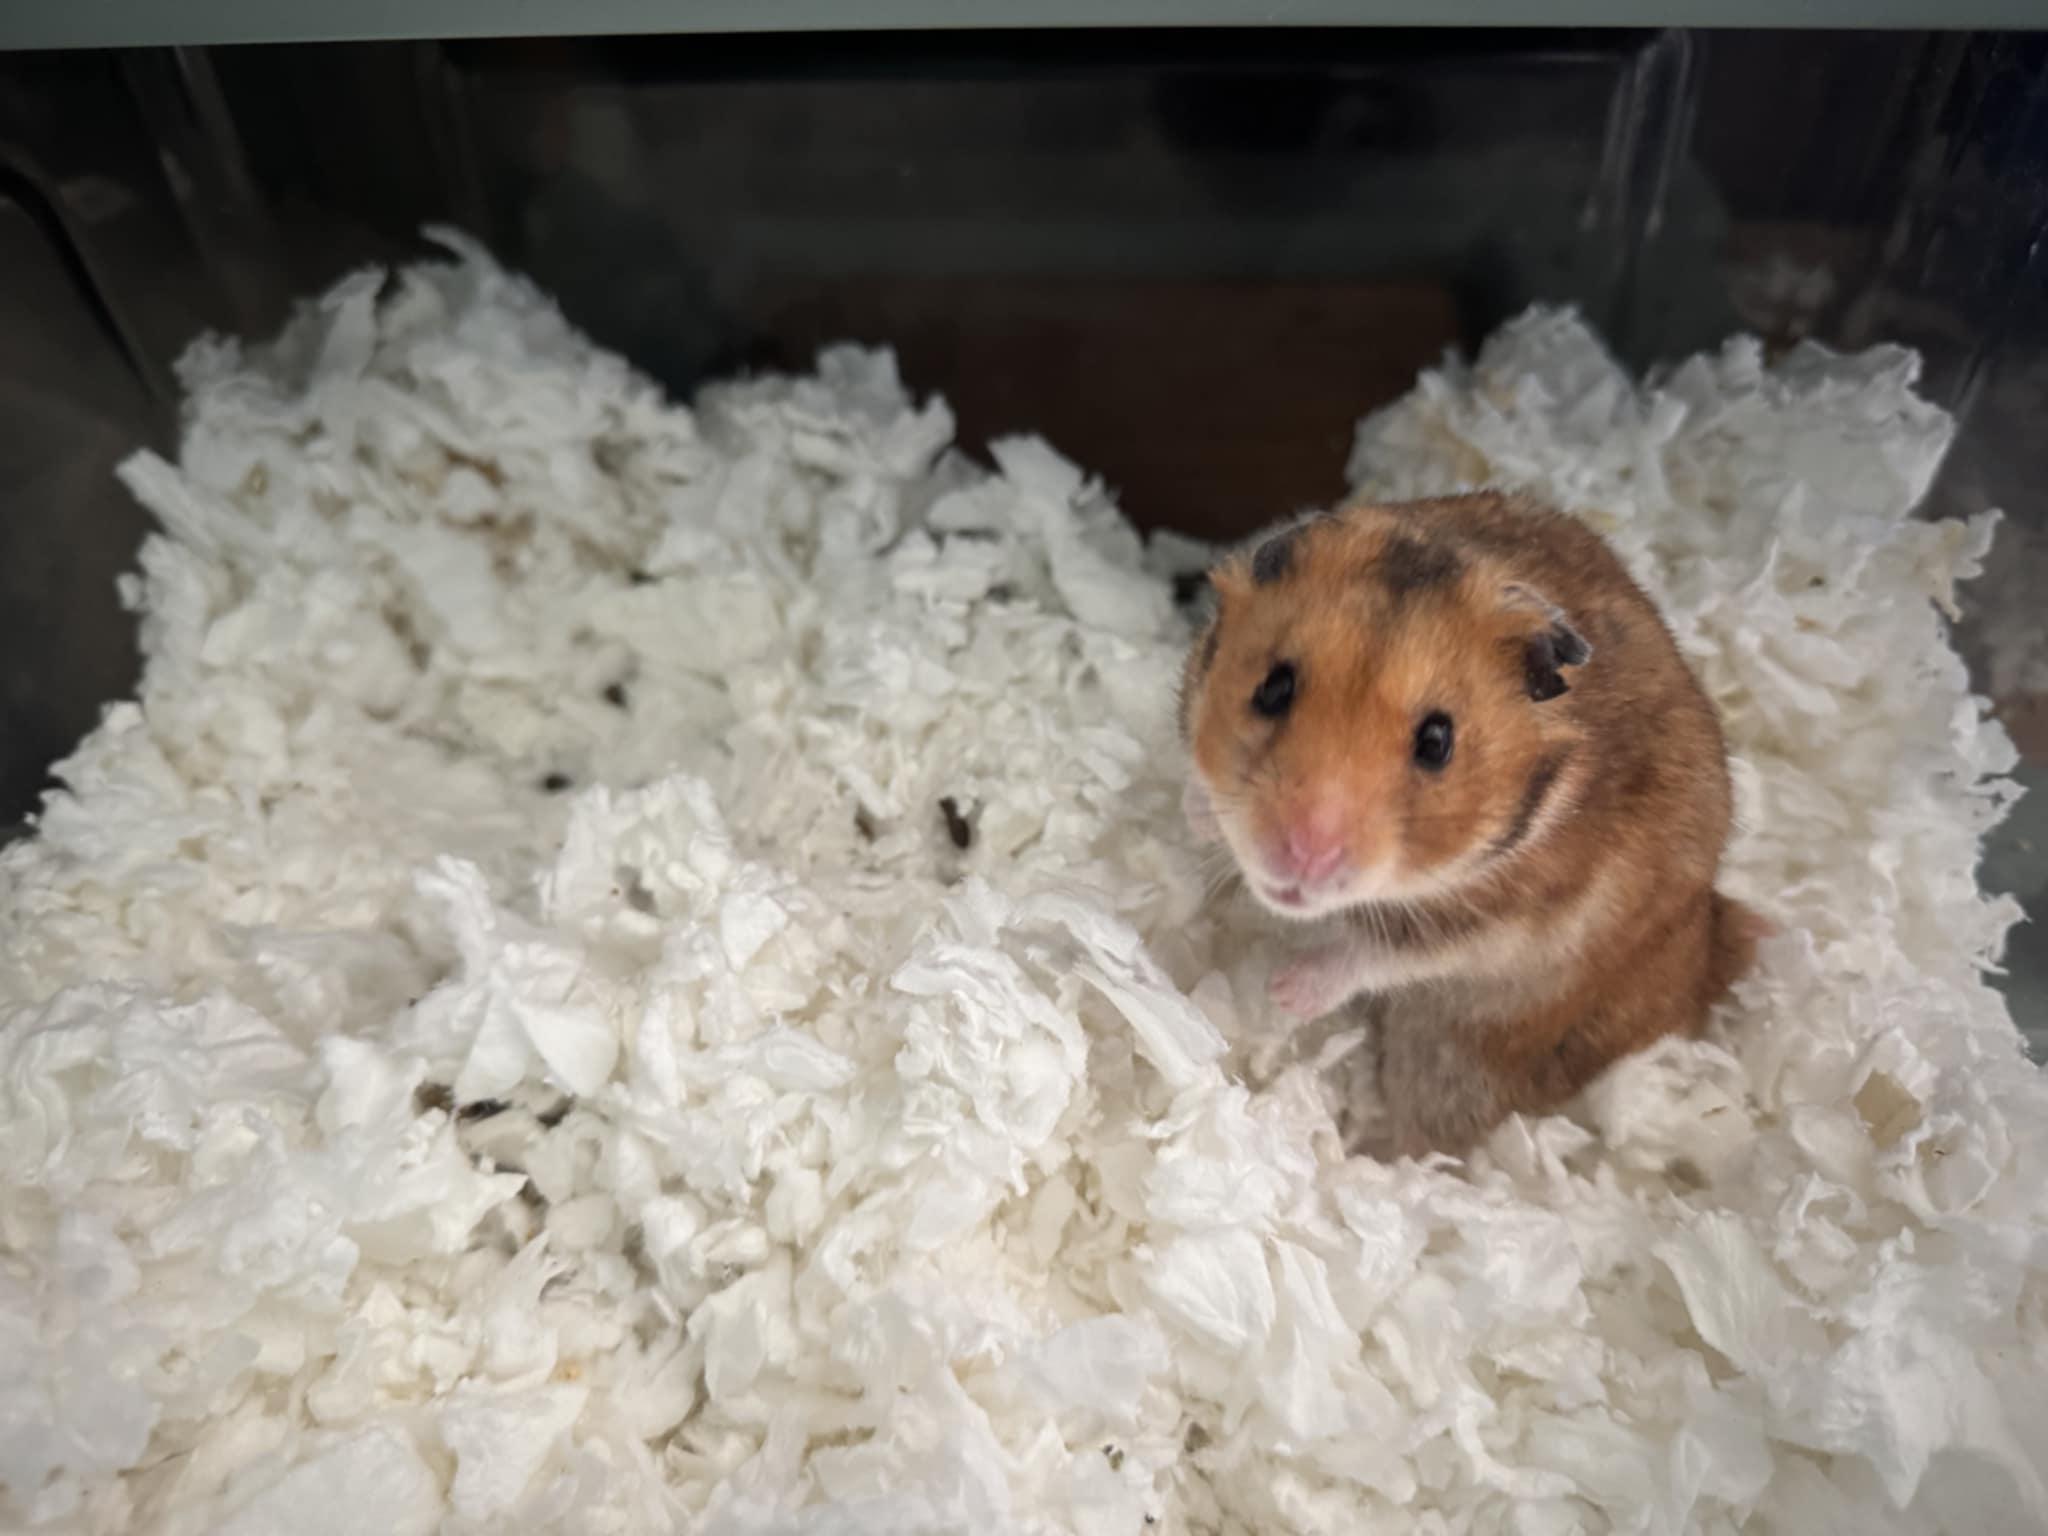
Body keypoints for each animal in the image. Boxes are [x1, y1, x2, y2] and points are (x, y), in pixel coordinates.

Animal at [1178, 491, 1765, 1159]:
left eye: (1438, 741)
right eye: (1273, 688)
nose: (1302, 856)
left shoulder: (1506, 922)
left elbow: (1373, 952)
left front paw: (1285, 992)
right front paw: (1199, 820)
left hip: (1463, 1063)